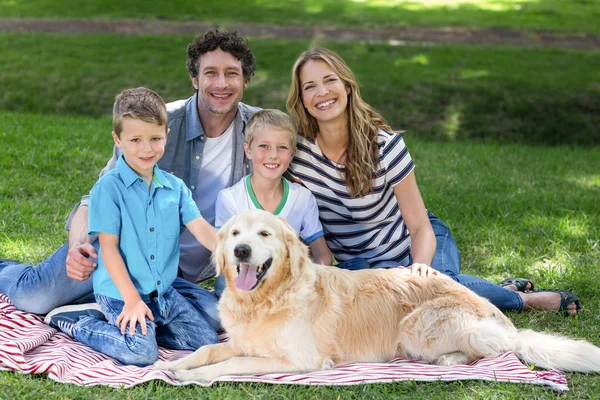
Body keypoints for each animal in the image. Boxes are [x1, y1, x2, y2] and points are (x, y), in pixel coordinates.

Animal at [155, 209, 600, 382]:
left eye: (263, 234)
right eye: (234, 234)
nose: (242, 251)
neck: (267, 298)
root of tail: (500, 317)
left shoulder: (298, 360)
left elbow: (228, 365)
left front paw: (190, 376)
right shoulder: (242, 339)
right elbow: (209, 351)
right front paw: (176, 364)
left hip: (416, 325)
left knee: (494, 349)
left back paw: (450, 358)